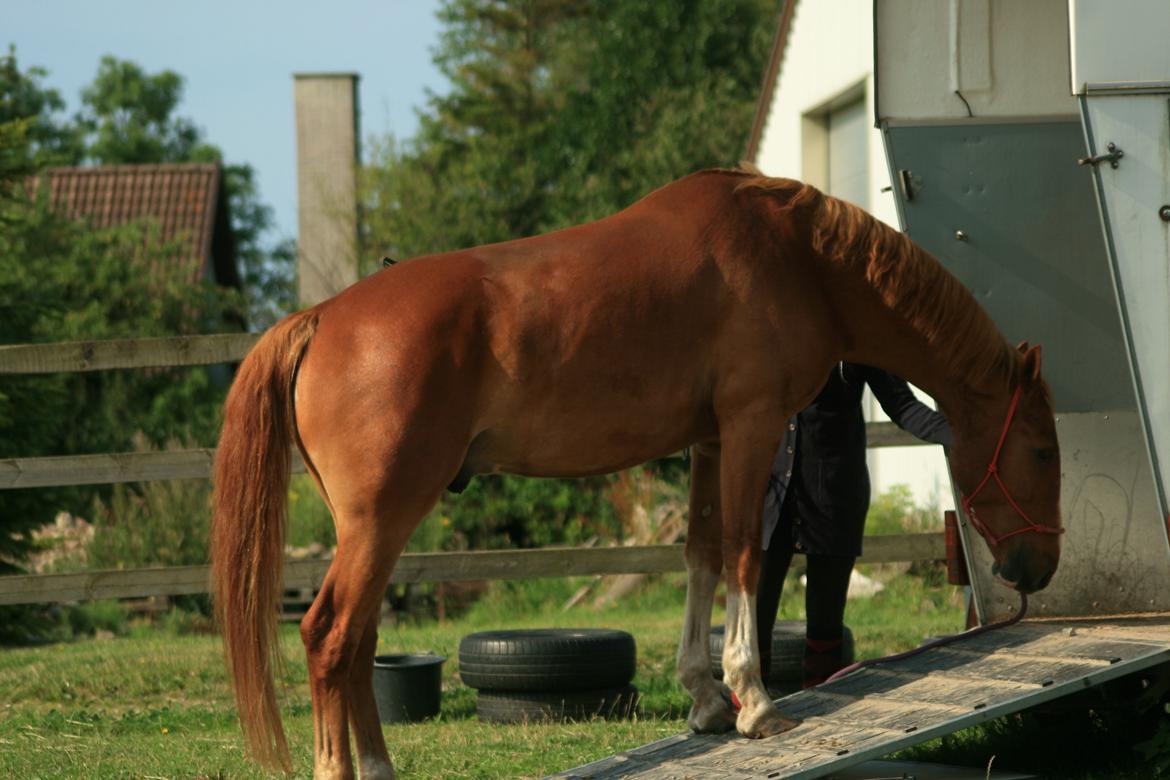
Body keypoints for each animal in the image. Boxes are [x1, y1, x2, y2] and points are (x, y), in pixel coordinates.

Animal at [208, 171, 1062, 780]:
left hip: (377, 529)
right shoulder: (752, 426)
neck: (800, 259)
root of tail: (322, 317)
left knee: (357, 644)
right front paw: (754, 701)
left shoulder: (708, 442)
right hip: (384, 518)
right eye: (1043, 453)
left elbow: (701, 556)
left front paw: (706, 699)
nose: (1040, 565)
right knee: (328, 636)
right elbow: (747, 555)